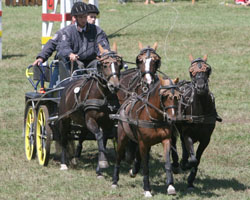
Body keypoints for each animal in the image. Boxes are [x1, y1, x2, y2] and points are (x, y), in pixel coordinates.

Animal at [57, 43, 123, 175]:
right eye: (105, 65)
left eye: (119, 64)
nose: (114, 86)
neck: (103, 95)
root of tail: (69, 84)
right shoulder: (91, 120)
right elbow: (99, 136)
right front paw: (103, 163)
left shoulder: (107, 123)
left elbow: (102, 141)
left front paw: (100, 167)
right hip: (64, 119)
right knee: (64, 138)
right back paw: (63, 164)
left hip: (82, 120)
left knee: (81, 135)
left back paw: (76, 156)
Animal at [175, 54, 222, 189]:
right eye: (191, 71)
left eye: (208, 70)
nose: (201, 87)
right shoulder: (187, 134)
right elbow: (193, 159)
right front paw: (185, 164)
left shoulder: (206, 138)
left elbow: (197, 159)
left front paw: (191, 180)